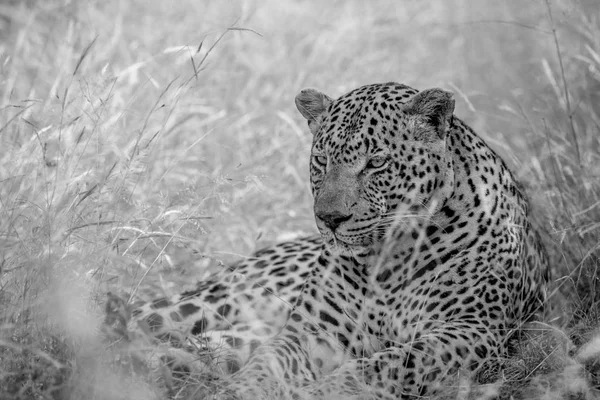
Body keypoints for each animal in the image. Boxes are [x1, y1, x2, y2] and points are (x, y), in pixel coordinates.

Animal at [105, 82, 552, 400]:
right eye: (321, 160)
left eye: (376, 162)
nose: (330, 219)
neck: (387, 263)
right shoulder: (310, 333)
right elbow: (266, 366)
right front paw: (238, 393)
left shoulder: (469, 331)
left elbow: (387, 365)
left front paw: (322, 391)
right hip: (212, 303)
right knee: (126, 316)